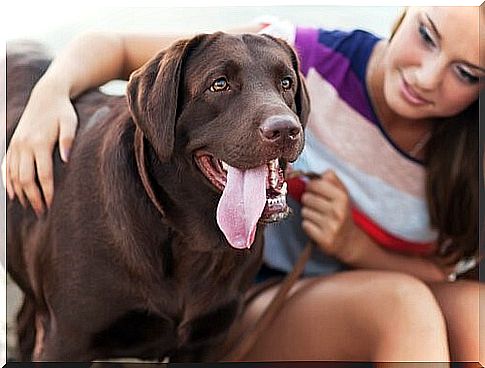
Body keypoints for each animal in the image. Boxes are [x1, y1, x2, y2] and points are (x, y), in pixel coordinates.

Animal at [5, 33, 308, 362]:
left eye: (286, 82)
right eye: (219, 84)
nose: (285, 129)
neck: (193, 242)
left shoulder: (205, 342)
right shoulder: (67, 339)